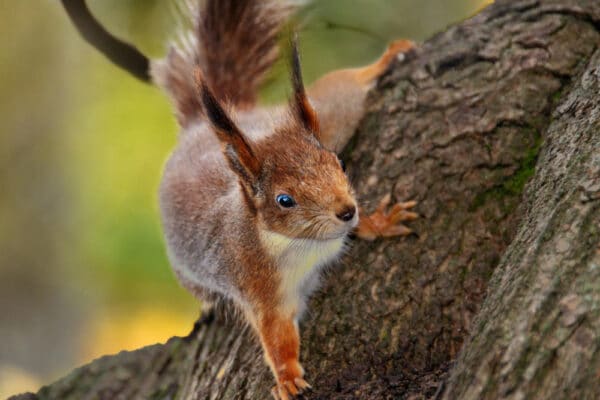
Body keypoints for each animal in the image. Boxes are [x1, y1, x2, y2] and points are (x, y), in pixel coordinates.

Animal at [62, 1, 418, 398]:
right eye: (284, 200)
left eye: (339, 163)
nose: (346, 211)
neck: (301, 244)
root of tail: (202, 126)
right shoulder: (259, 288)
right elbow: (276, 336)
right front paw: (287, 377)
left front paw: (379, 221)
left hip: (330, 116)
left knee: (340, 89)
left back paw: (389, 56)